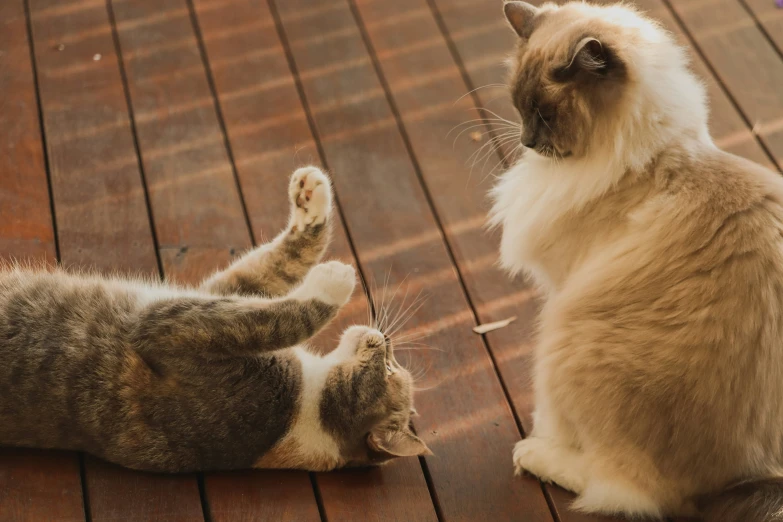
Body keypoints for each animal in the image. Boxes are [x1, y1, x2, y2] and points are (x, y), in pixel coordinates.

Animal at [0, 167, 428, 472]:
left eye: (390, 369)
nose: (385, 338)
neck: (310, 397)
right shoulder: (219, 291)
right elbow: (278, 265)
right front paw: (312, 198)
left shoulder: (171, 328)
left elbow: (285, 316)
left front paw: (336, 278)